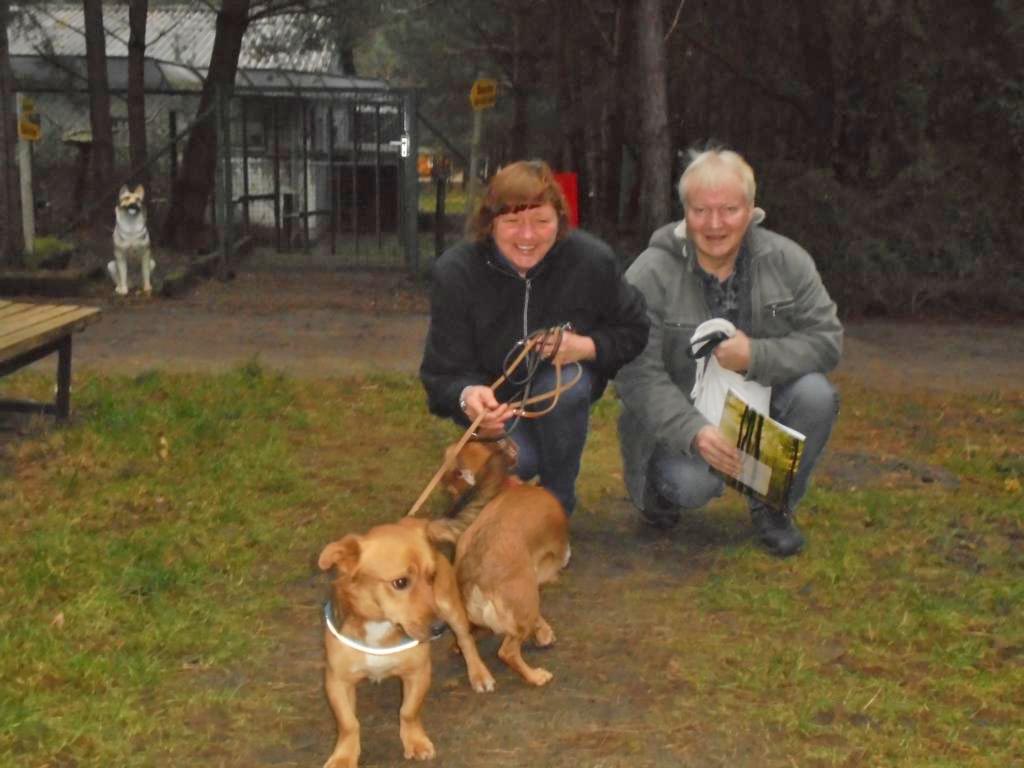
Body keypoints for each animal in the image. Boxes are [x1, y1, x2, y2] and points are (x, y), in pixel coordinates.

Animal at [317, 516, 494, 768]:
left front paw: (415, 741)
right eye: (400, 582)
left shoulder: (418, 672)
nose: (439, 628)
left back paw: (479, 674)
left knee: (466, 640)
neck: (380, 625)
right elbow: (348, 723)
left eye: (431, 577)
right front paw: (344, 756)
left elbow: (408, 711)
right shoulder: (337, 681)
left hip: (452, 609)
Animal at [439, 439, 571, 686]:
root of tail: (475, 570)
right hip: (525, 601)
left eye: (451, 488)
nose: (452, 511)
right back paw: (535, 676)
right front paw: (544, 634)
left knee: (467, 638)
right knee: (507, 652)